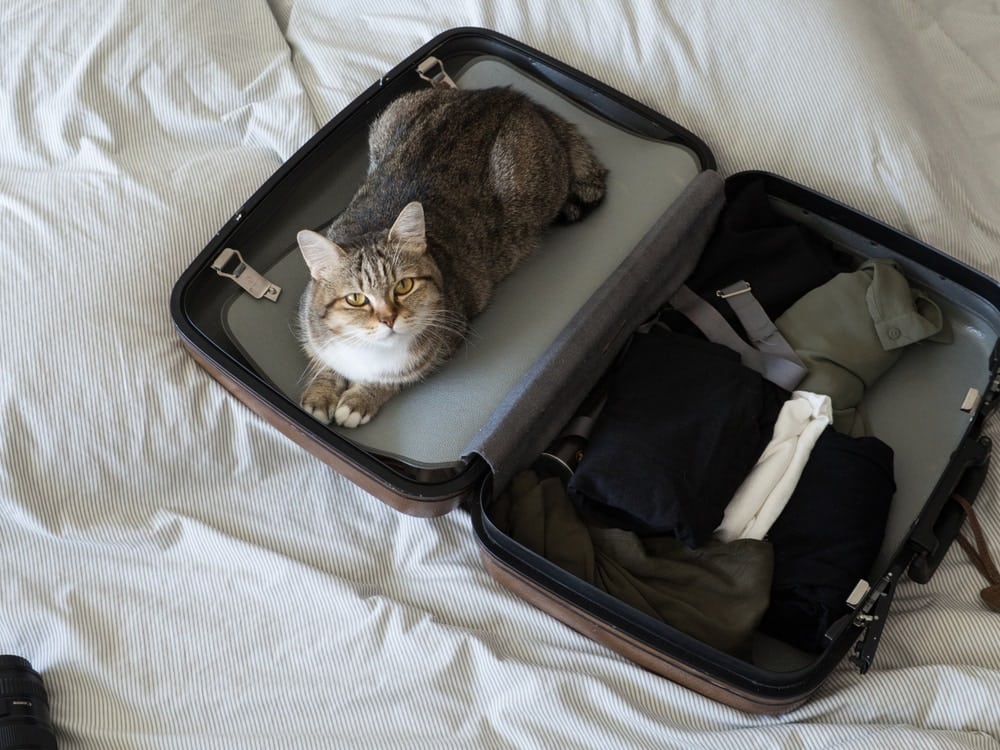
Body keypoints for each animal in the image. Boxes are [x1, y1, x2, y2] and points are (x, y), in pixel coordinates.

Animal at [296, 86, 604, 428]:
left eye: (404, 286)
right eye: (355, 299)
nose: (388, 318)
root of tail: (507, 96)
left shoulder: (445, 342)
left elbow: (394, 379)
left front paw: (361, 399)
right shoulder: (312, 329)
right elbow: (323, 363)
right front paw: (320, 394)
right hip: (391, 116)